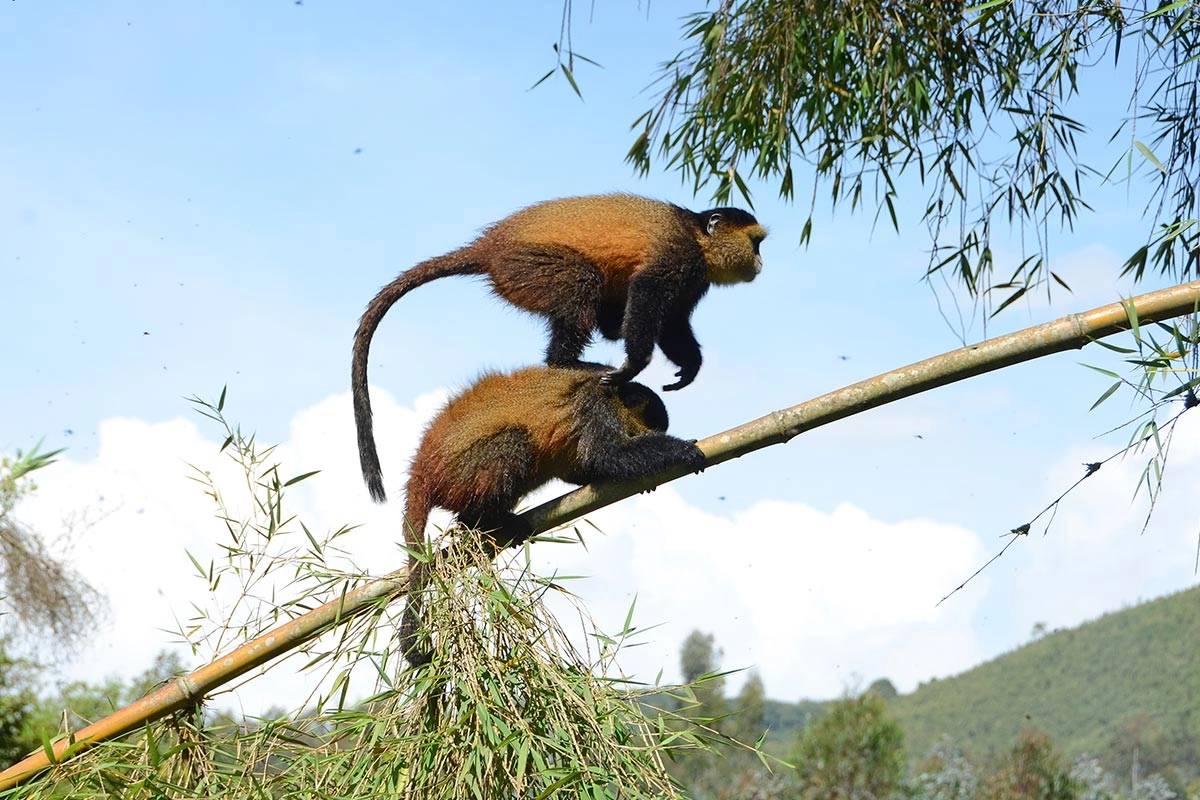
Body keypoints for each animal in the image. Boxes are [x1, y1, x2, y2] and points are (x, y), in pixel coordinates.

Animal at [352, 193, 765, 503]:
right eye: (756, 243)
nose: (761, 262)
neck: (697, 235)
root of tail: (488, 247)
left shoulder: (694, 278)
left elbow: (674, 322)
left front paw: (689, 367)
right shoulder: (679, 257)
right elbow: (648, 290)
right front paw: (633, 366)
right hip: (525, 268)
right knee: (582, 281)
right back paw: (569, 363)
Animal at [396, 363, 707, 666]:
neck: (613, 391)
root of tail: (422, 468)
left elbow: (586, 465)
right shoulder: (595, 405)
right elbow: (609, 454)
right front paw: (682, 450)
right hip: (461, 474)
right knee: (515, 441)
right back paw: (482, 518)